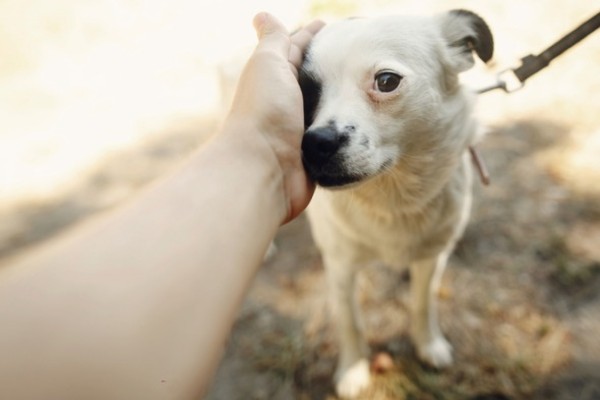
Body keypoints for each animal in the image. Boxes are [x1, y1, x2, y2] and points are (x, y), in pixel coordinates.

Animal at [298, 10, 492, 400]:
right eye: (304, 90)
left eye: (386, 81)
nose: (316, 144)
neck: (392, 198)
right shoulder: (340, 267)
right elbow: (350, 320)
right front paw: (353, 369)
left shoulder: (432, 257)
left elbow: (422, 302)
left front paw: (428, 344)